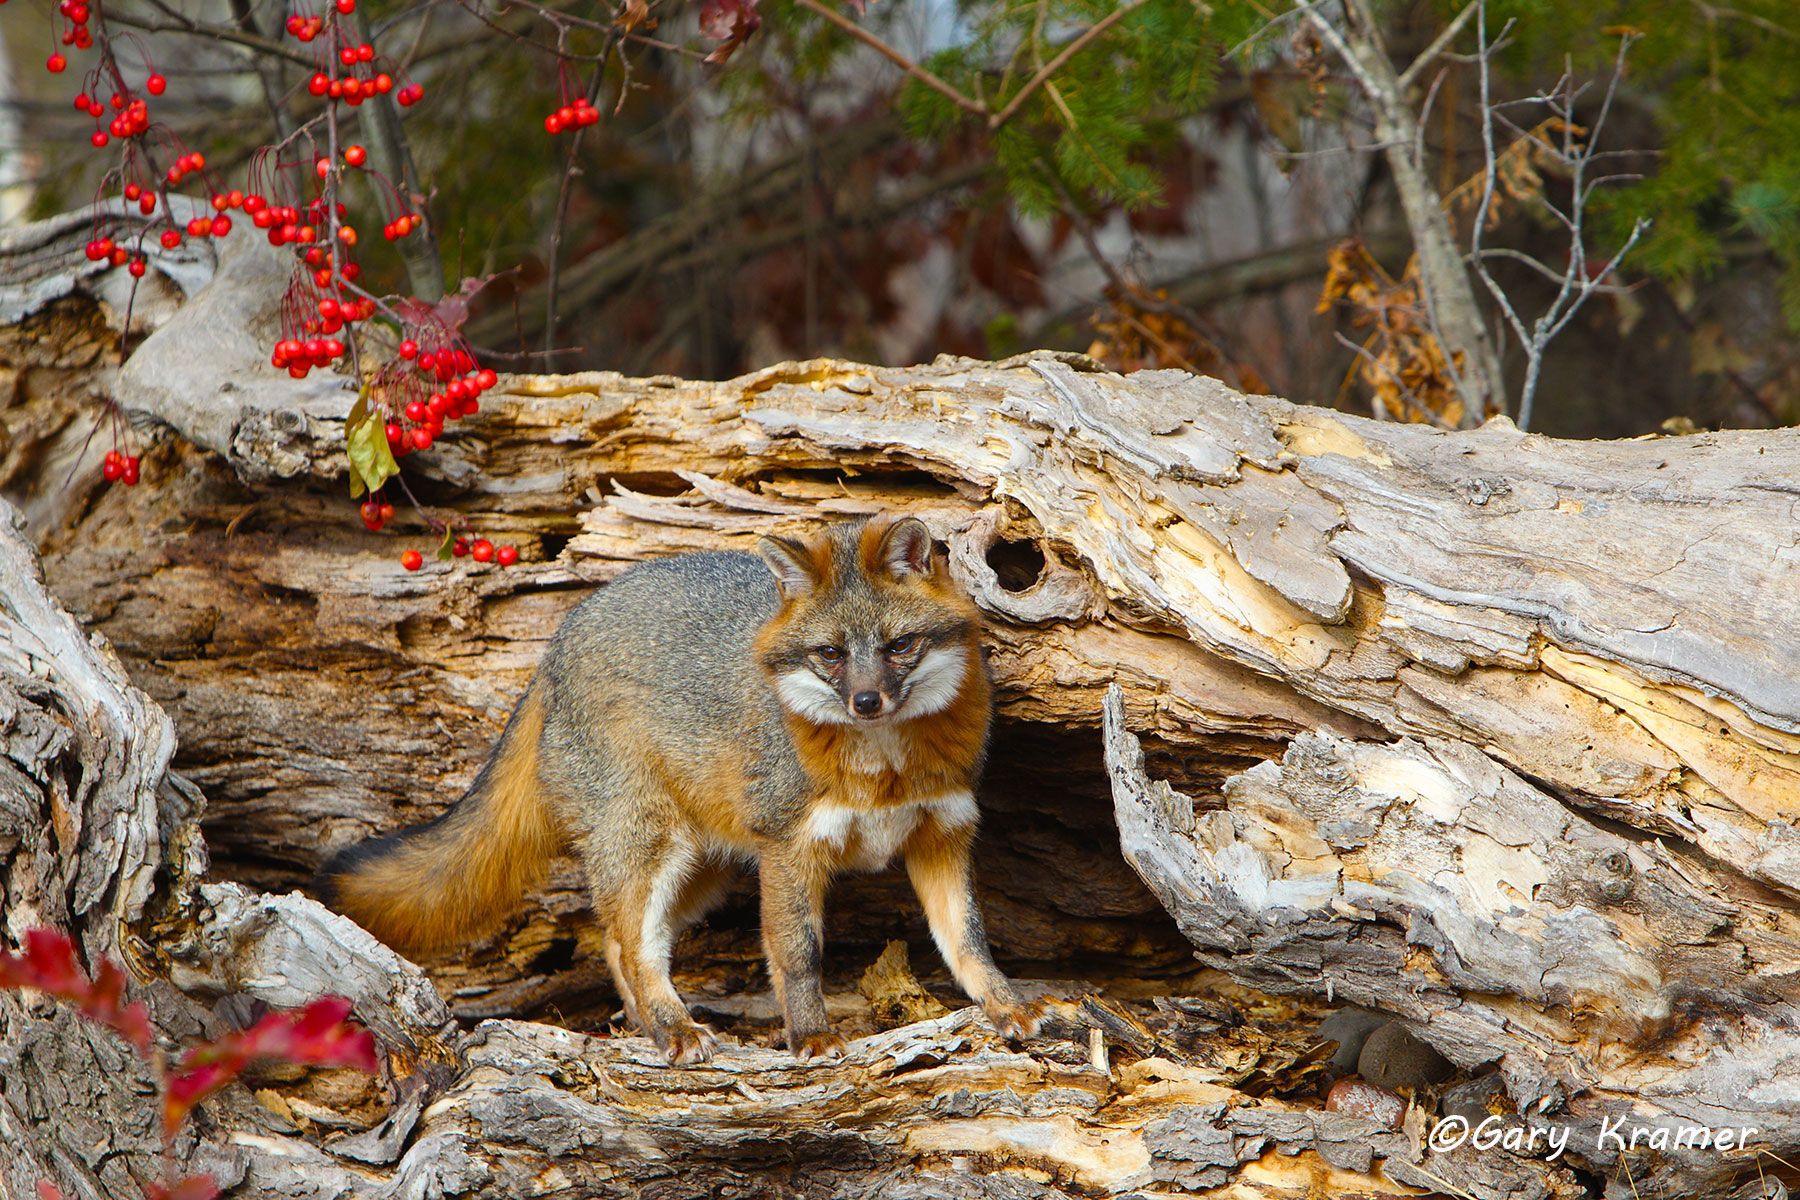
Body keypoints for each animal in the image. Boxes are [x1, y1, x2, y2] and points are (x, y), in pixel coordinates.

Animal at [321, 514, 1042, 1063]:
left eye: (898, 646)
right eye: (830, 655)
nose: (866, 702)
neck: (884, 768)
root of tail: (558, 642)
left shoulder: (943, 835)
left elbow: (968, 941)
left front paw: (1005, 1005)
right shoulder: (789, 848)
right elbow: (799, 954)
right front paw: (809, 1036)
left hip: (704, 870)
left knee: (618, 945)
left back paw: (651, 1025)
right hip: (651, 848)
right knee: (632, 945)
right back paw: (673, 1028)